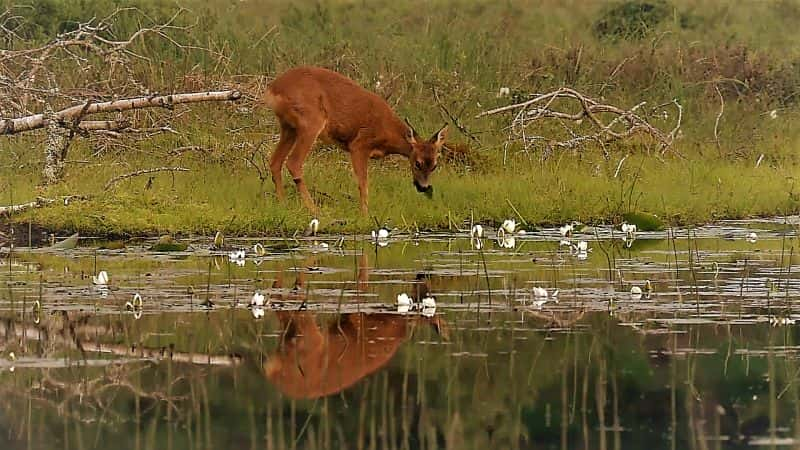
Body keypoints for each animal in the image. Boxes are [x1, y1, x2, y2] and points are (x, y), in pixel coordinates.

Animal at [260, 66, 446, 215]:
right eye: (417, 163)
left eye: (435, 165)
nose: (423, 187)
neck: (388, 132)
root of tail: (272, 89)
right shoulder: (359, 144)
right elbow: (363, 182)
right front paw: (365, 214)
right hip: (311, 121)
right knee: (293, 162)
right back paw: (314, 209)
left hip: (289, 127)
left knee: (275, 161)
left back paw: (283, 203)